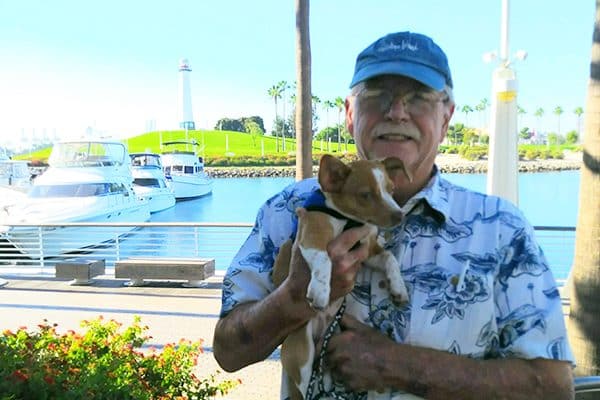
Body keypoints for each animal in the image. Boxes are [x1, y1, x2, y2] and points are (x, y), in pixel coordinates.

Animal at [274, 155, 410, 398]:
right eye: (365, 195)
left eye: (391, 190)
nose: (399, 215)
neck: (348, 219)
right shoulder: (312, 237)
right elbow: (324, 260)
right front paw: (320, 291)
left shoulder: (367, 251)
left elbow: (389, 257)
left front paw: (398, 287)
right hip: (302, 352)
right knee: (307, 386)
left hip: (330, 344)